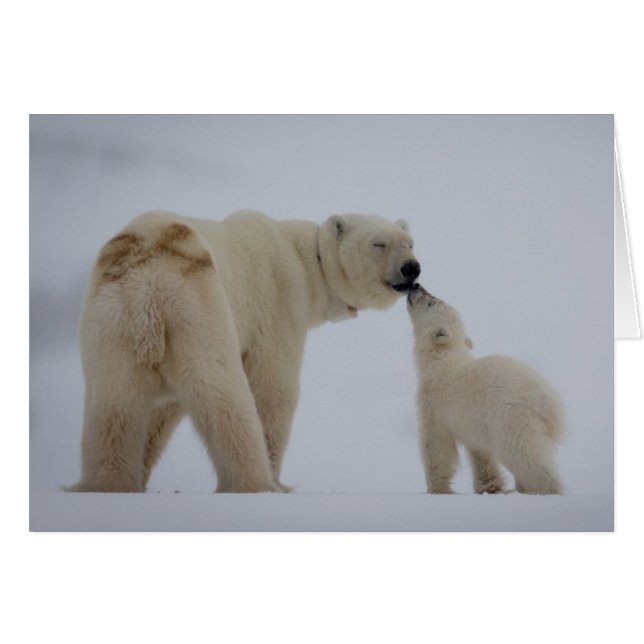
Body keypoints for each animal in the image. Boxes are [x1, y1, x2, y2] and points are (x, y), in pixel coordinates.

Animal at [67, 209, 420, 493]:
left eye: (410, 242)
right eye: (379, 244)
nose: (411, 268)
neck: (303, 259)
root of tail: (147, 291)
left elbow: (161, 410)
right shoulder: (279, 303)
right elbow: (273, 388)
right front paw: (277, 478)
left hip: (112, 323)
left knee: (113, 406)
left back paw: (107, 485)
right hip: (197, 311)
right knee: (224, 396)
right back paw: (255, 484)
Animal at [407, 285, 563, 495]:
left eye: (432, 302)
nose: (416, 286)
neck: (442, 360)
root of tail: (548, 405)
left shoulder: (435, 402)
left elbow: (436, 443)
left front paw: (438, 489)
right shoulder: (473, 420)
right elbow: (480, 452)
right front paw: (490, 487)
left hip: (511, 418)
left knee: (523, 456)